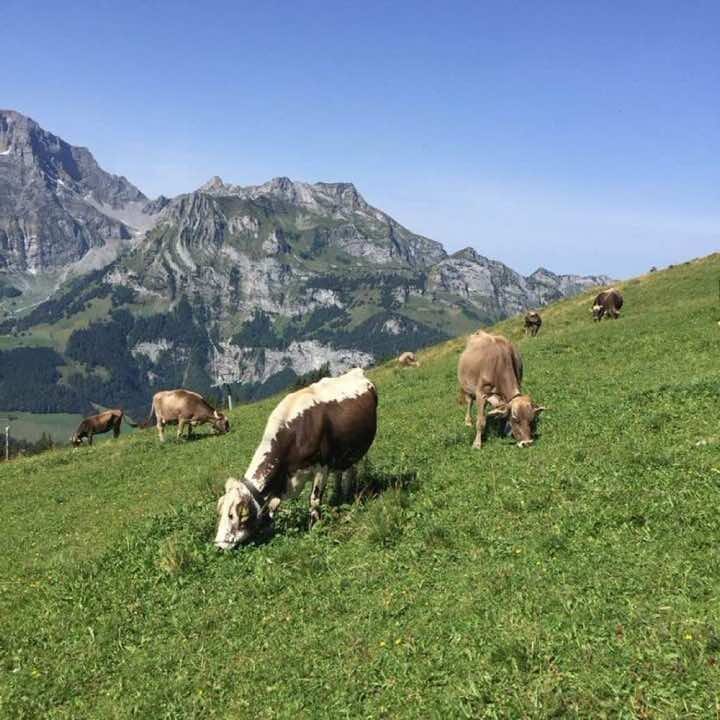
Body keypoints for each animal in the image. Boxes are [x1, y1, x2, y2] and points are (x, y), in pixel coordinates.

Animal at [214, 367, 377, 549]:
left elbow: (314, 500)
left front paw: (314, 528)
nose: (218, 546)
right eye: (221, 512)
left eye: (233, 515)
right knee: (341, 472)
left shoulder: (321, 467)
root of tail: (356, 371)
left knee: (351, 471)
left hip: (357, 448)